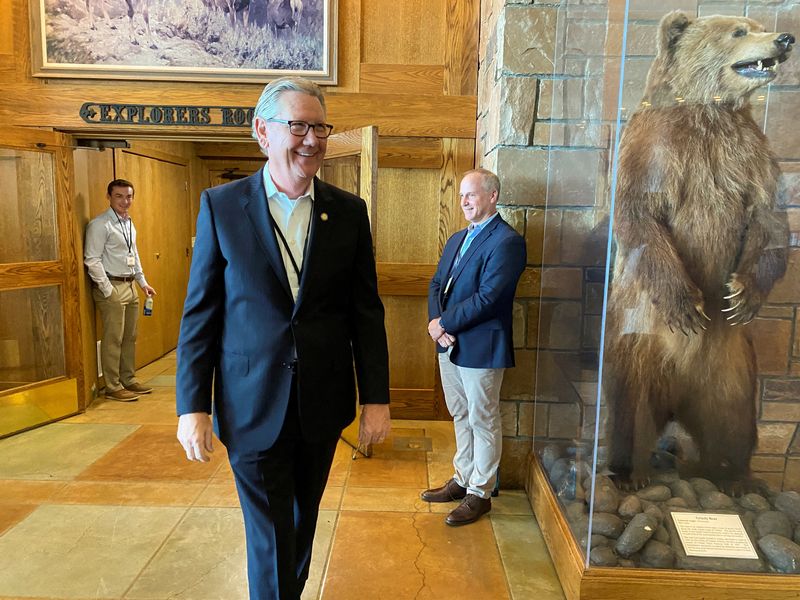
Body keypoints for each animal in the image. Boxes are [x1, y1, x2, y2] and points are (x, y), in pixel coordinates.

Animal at [608, 11, 792, 494]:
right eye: (738, 31)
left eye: (758, 23)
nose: (785, 38)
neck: (708, 111)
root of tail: (678, 400)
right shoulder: (654, 148)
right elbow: (641, 218)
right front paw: (688, 305)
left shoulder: (751, 154)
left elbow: (769, 219)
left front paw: (741, 295)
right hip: (639, 349)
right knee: (630, 412)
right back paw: (630, 474)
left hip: (733, 372)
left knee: (733, 426)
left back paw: (733, 479)